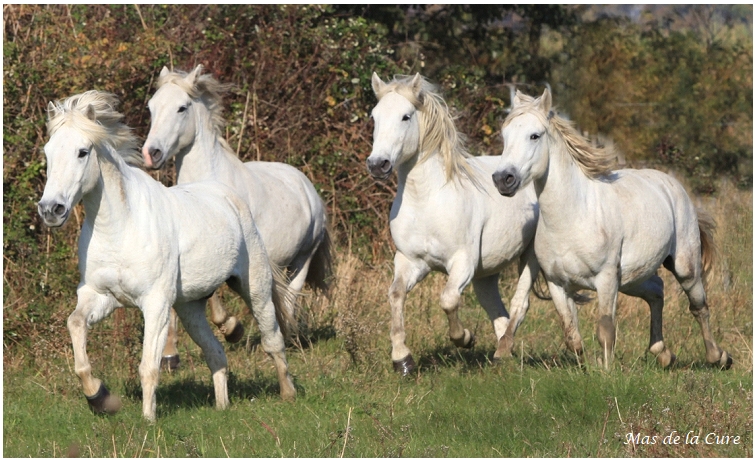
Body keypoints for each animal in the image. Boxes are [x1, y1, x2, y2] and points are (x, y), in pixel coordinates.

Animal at [37, 91, 296, 421]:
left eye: (83, 152)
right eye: (48, 153)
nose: (51, 209)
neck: (120, 226)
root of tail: (231, 198)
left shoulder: (155, 303)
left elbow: (148, 366)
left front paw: (148, 420)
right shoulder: (100, 295)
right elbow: (76, 328)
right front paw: (100, 398)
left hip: (255, 288)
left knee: (272, 339)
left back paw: (288, 394)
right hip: (190, 307)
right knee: (216, 352)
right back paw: (222, 405)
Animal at [142, 65, 332, 367]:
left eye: (182, 107)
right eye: (151, 107)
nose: (152, 153)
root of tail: (307, 186)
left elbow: (215, 298)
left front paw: (232, 329)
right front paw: (170, 355)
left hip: (302, 259)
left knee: (290, 297)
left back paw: (286, 339)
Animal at [367, 73, 545, 375]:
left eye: (405, 116)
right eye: (375, 116)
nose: (378, 164)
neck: (427, 200)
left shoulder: (462, 263)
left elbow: (448, 299)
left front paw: (465, 338)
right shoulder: (410, 261)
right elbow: (396, 295)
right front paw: (402, 360)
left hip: (529, 257)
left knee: (519, 304)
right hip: (486, 274)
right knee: (496, 310)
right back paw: (502, 355)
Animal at [492, 88, 732, 370]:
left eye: (534, 135)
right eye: (505, 136)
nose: (503, 179)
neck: (572, 218)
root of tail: (672, 184)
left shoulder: (606, 279)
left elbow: (605, 329)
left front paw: (605, 371)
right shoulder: (557, 284)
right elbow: (571, 335)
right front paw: (585, 366)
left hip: (684, 267)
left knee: (699, 306)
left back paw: (719, 357)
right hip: (632, 278)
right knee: (657, 291)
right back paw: (663, 353)